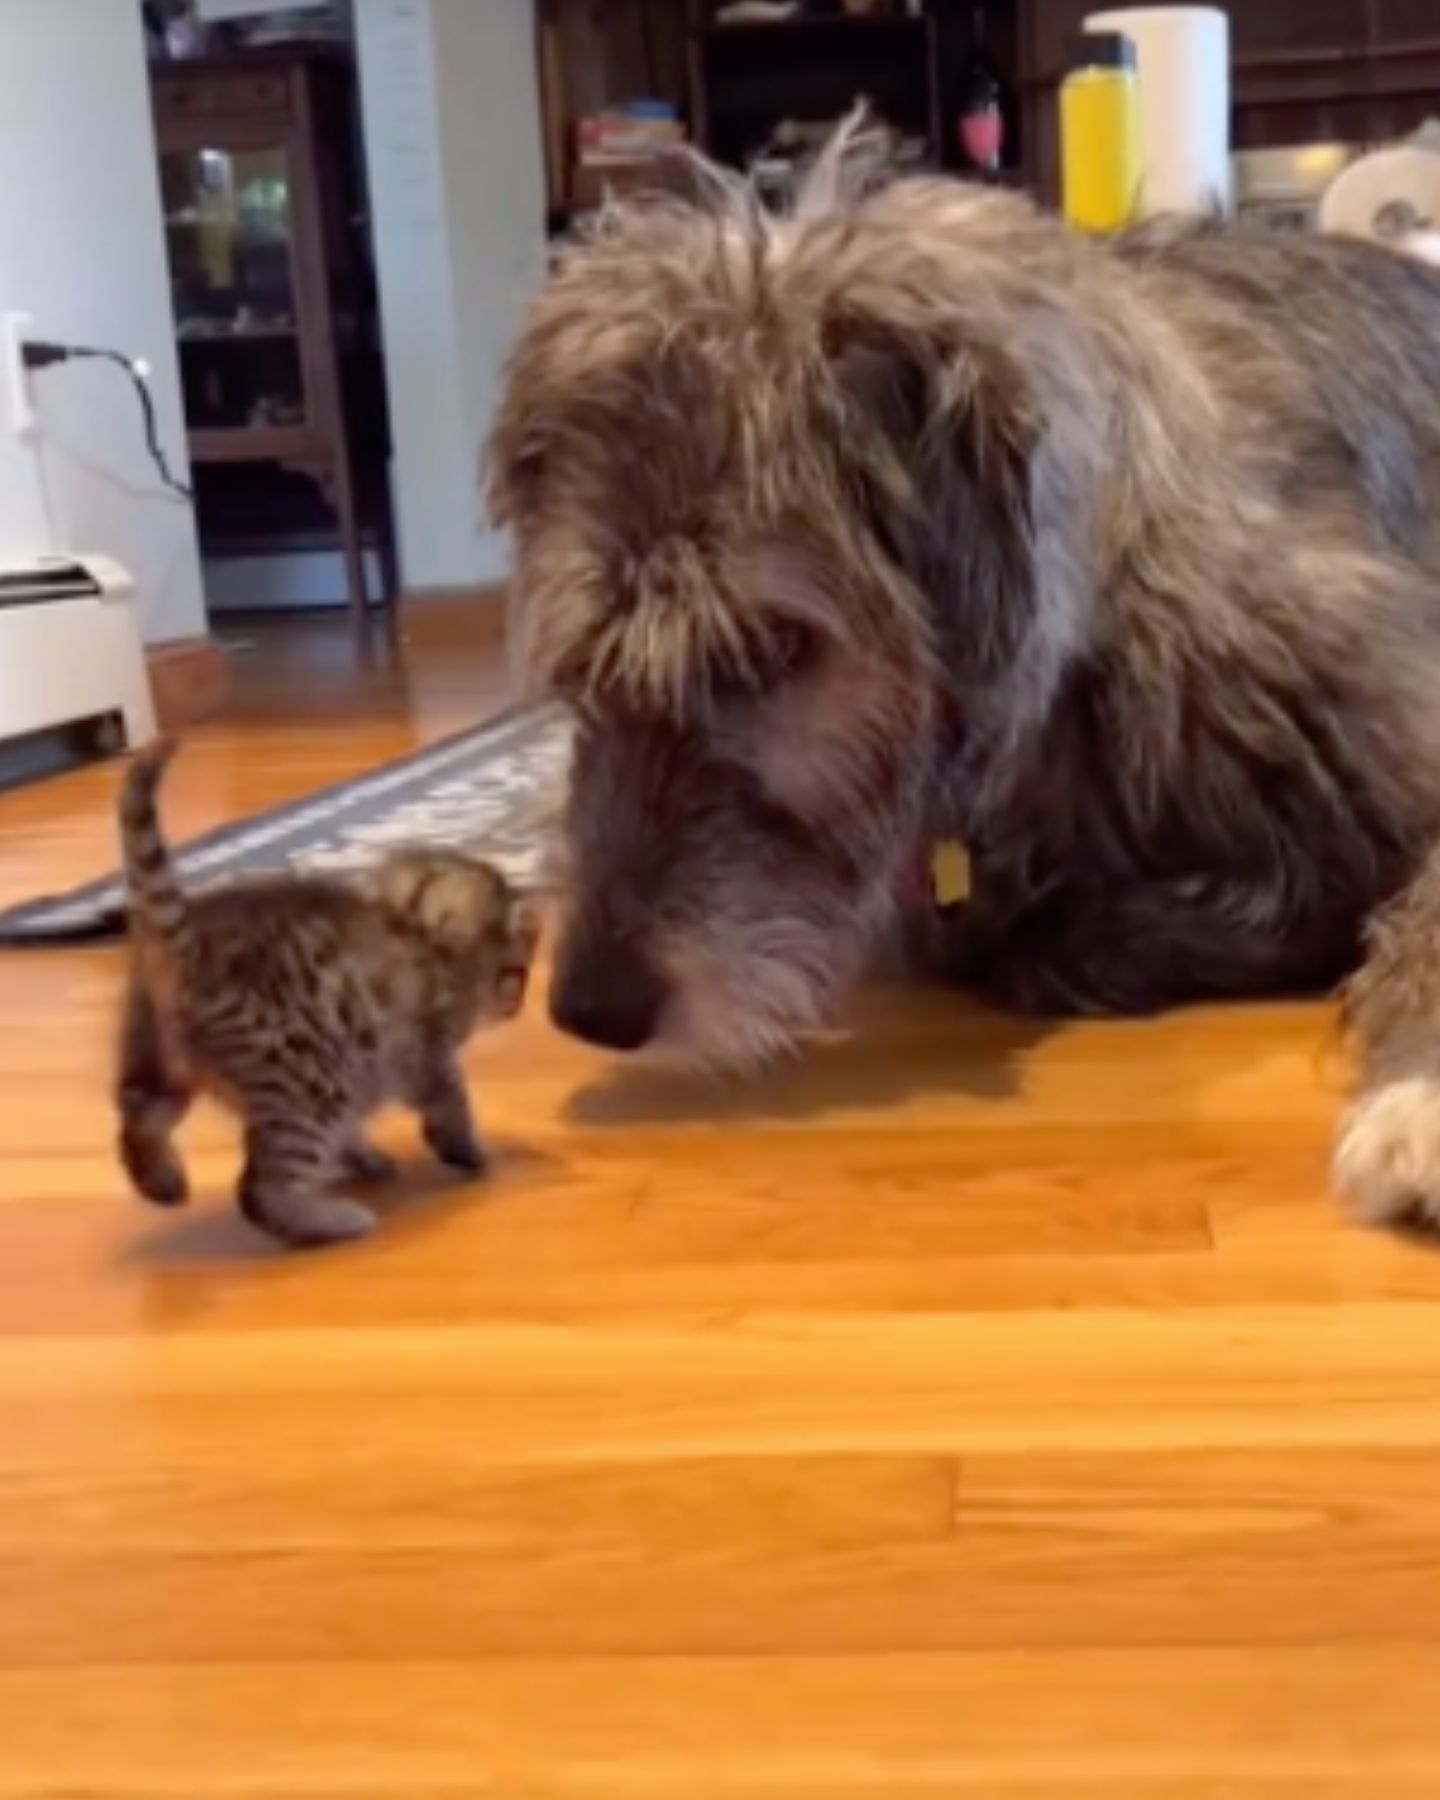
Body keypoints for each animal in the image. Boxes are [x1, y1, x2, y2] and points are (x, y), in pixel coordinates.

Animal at [117, 738, 540, 1245]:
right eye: (516, 974)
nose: (515, 1008)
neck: (414, 921)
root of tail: (191, 946)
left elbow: (355, 1132)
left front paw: (363, 1156)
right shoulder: (427, 1053)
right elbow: (450, 1109)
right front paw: (472, 1154)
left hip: (156, 1061)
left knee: (137, 1120)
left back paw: (162, 1180)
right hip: (311, 1082)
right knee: (259, 1188)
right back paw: (329, 1221)